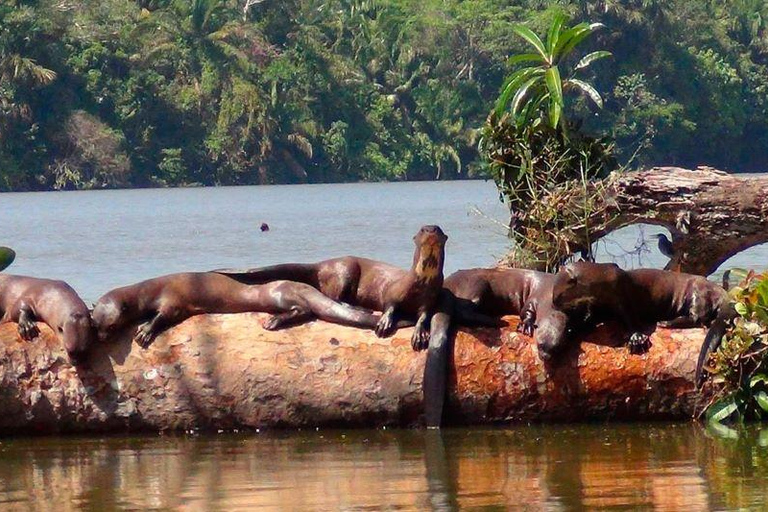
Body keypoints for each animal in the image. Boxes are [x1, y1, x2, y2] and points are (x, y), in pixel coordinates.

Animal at [214, 225, 450, 350]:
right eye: (423, 229)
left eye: (438, 229)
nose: (431, 230)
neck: (419, 282)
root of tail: (322, 264)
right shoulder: (394, 291)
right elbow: (390, 305)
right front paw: (384, 321)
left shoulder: (430, 298)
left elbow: (424, 315)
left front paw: (419, 333)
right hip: (345, 269)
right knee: (336, 296)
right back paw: (359, 308)